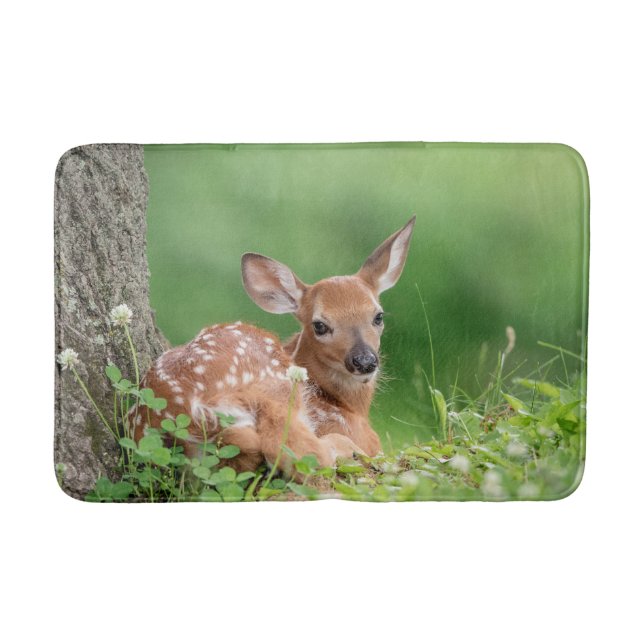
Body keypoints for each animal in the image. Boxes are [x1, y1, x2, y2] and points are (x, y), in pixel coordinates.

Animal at [131, 216, 415, 476]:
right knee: (298, 452)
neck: (346, 405)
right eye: (320, 325)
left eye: (378, 316)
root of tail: (195, 411)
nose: (364, 361)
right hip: (275, 388)